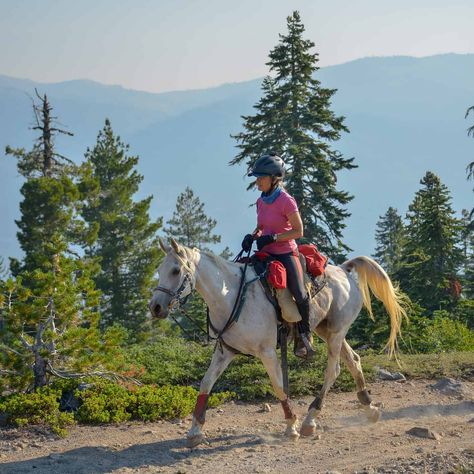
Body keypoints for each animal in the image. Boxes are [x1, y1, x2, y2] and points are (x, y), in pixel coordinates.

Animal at [149, 237, 408, 448]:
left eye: (175, 270)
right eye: (159, 269)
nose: (156, 307)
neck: (230, 295)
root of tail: (344, 270)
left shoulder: (267, 352)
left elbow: (279, 386)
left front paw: (291, 425)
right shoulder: (225, 352)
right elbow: (205, 384)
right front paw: (195, 431)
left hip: (336, 333)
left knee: (332, 370)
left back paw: (309, 420)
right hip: (326, 331)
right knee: (354, 361)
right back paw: (369, 408)